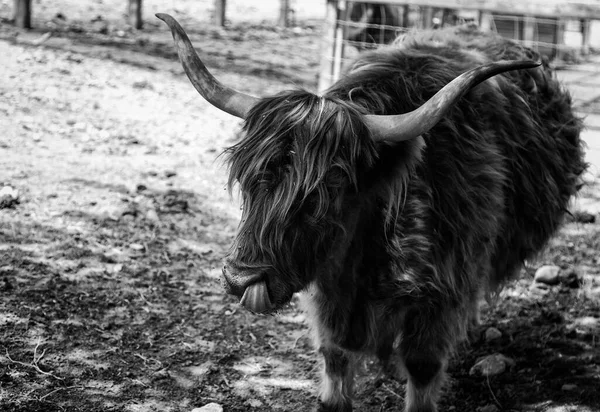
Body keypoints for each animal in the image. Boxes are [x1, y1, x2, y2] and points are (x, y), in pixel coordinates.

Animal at [157, 13, 584, 412]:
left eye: (328, 187)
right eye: (246, 178)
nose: (240, 278)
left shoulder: (444, 292)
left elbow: (423, 366)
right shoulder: (328, 295)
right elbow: (334, 360)